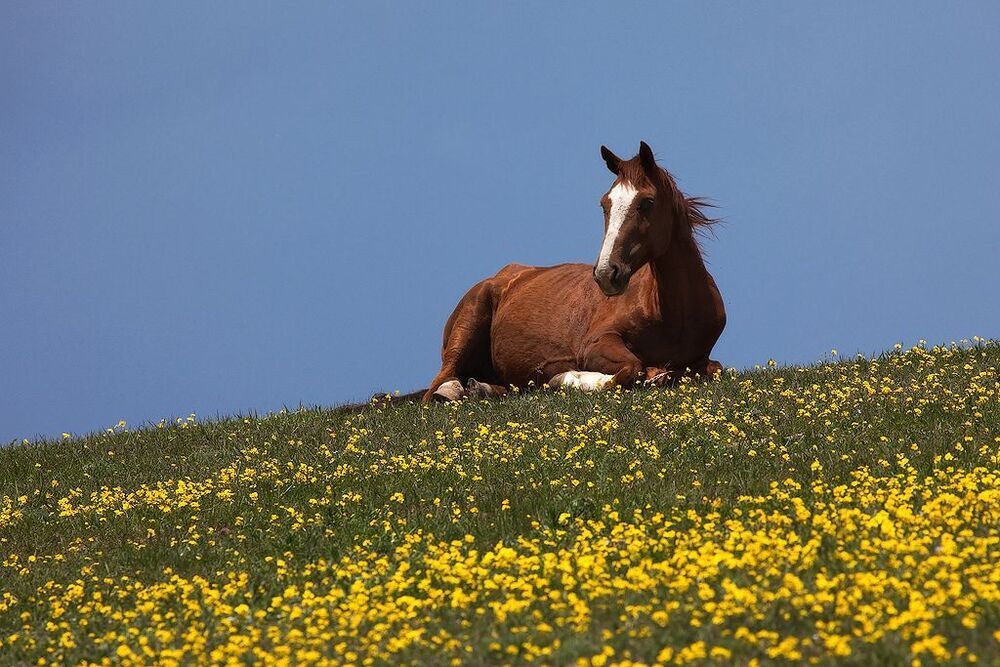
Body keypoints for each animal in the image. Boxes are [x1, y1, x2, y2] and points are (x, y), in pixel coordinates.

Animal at [422, 141, 726, 402]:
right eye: (605, 204)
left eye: (647, 203)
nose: (606, 272)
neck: (675, 316)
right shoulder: (597, 344)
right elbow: (632, 367)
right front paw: (568, 378)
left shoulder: (702, 359)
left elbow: (714, 368)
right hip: (468, 324)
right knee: (437, 386)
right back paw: (452, 391)